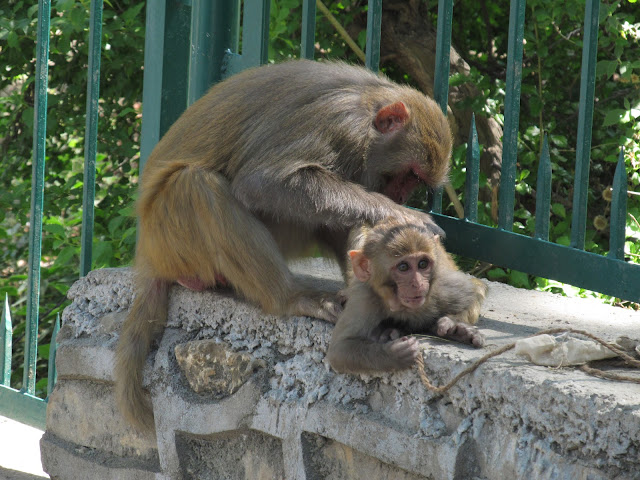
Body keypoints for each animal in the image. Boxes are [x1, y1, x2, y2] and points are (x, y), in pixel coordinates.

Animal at [115, 59, 453, 430]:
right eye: (410, 174)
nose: (402, 196)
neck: (368, 104)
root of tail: (148, 254)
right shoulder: (340, 123)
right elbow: (263, 182)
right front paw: (400, 213)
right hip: (169, 235)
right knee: (198, 186)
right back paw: (290, 297)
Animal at [327, 217, 487, 375]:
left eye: (423, 264)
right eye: (403, 267)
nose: (418, 283)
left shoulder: (441, 287)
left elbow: (476, 289)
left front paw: (457, 328)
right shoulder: (365, 298)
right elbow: (339, 350)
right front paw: (394, 354)